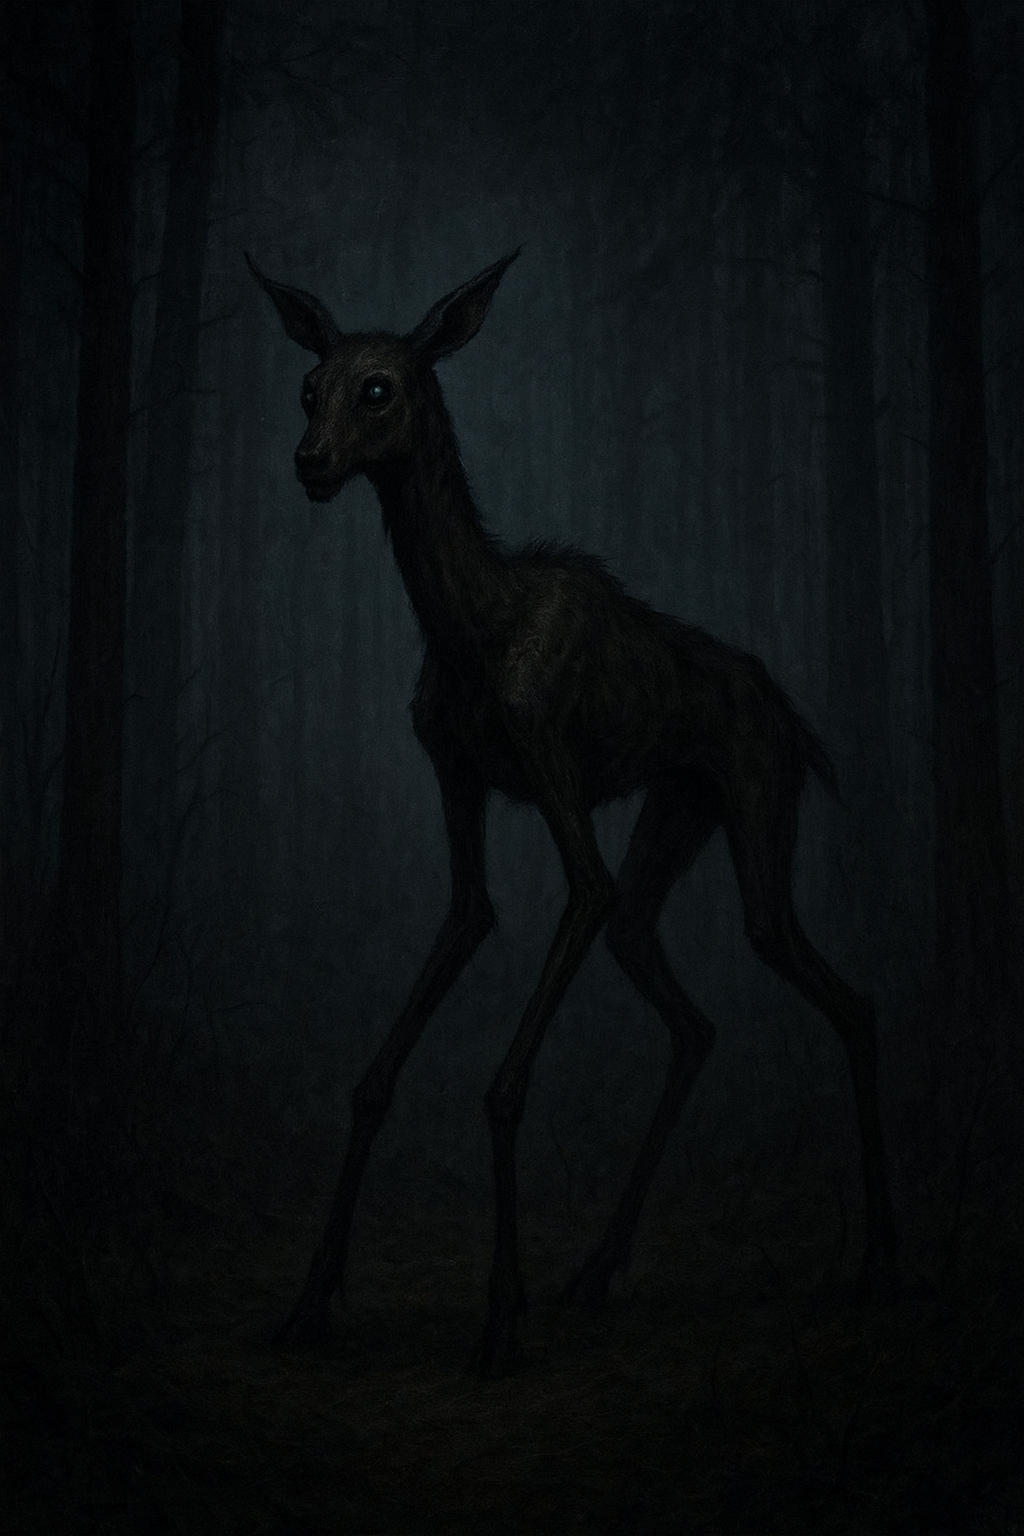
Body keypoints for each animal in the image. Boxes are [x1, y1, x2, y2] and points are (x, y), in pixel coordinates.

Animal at [247, 248, 898, 1377]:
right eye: (306, 385)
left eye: (379, 388)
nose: (310, 461)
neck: (473, 622)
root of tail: (786, 710)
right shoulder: (457, 785)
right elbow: (384, 1062)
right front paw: (311, 1299)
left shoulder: (557, 791)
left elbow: (506, 1084)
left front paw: (498, 1319)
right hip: (672, 826)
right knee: (696, 1019)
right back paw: (597, 1269)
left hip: (756, 823)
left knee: (847, 1000)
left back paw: (870, 1265)